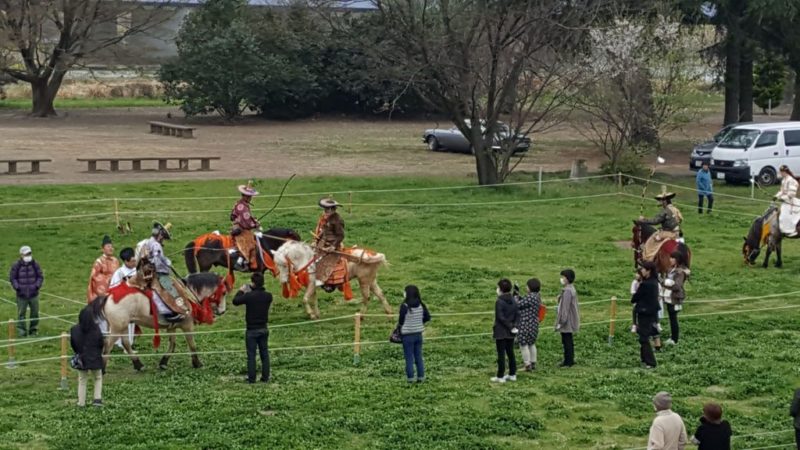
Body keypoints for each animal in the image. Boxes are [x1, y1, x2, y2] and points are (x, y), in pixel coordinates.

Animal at [99, 268, 231, 370]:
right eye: (224, 292)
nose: (222, 311)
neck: (188, 294)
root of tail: (108, 296)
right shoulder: (187, 325)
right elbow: (192, 345)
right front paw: (197, 363)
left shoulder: (172, 327)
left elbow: (172, 345)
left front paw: (163, 362)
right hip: (117, 327)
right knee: (108, 345)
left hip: (124, 325)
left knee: (126, 343)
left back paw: (138, 364)